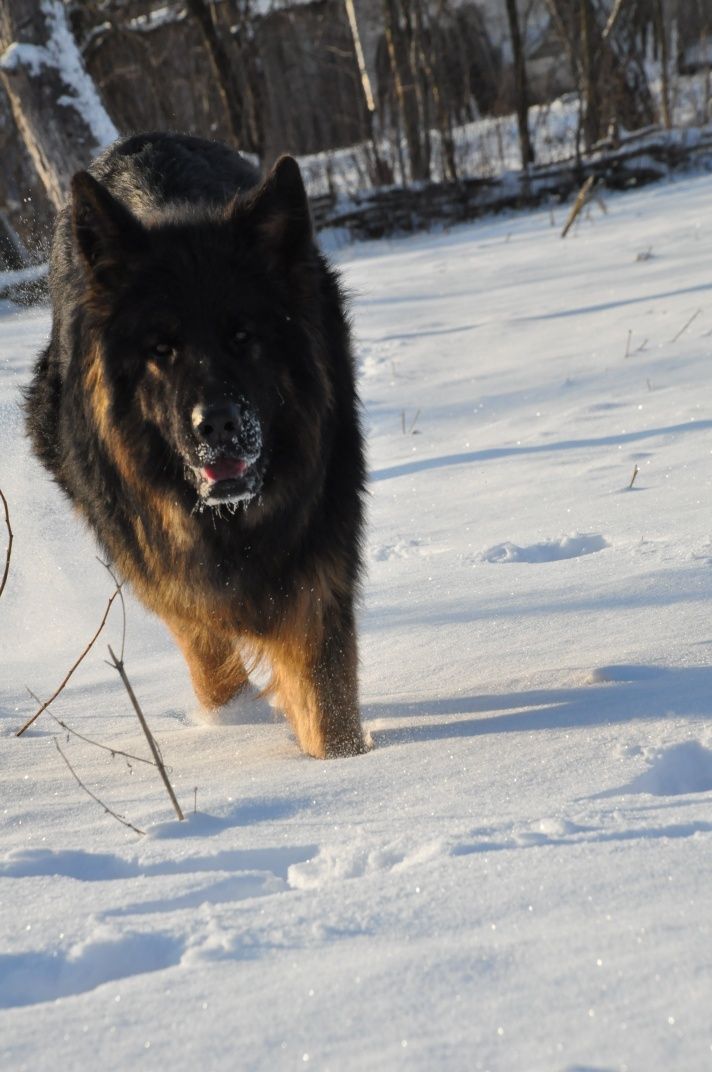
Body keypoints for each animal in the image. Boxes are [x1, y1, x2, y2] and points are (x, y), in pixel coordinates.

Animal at [24, 131, 364, 754]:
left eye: (243, 336)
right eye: (162, 349)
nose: (219, 425)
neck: (228, 521)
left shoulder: (316, 560)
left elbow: (324, 694)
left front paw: (345, 762)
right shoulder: (160, 563)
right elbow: (206, 648)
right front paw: (232, 722)